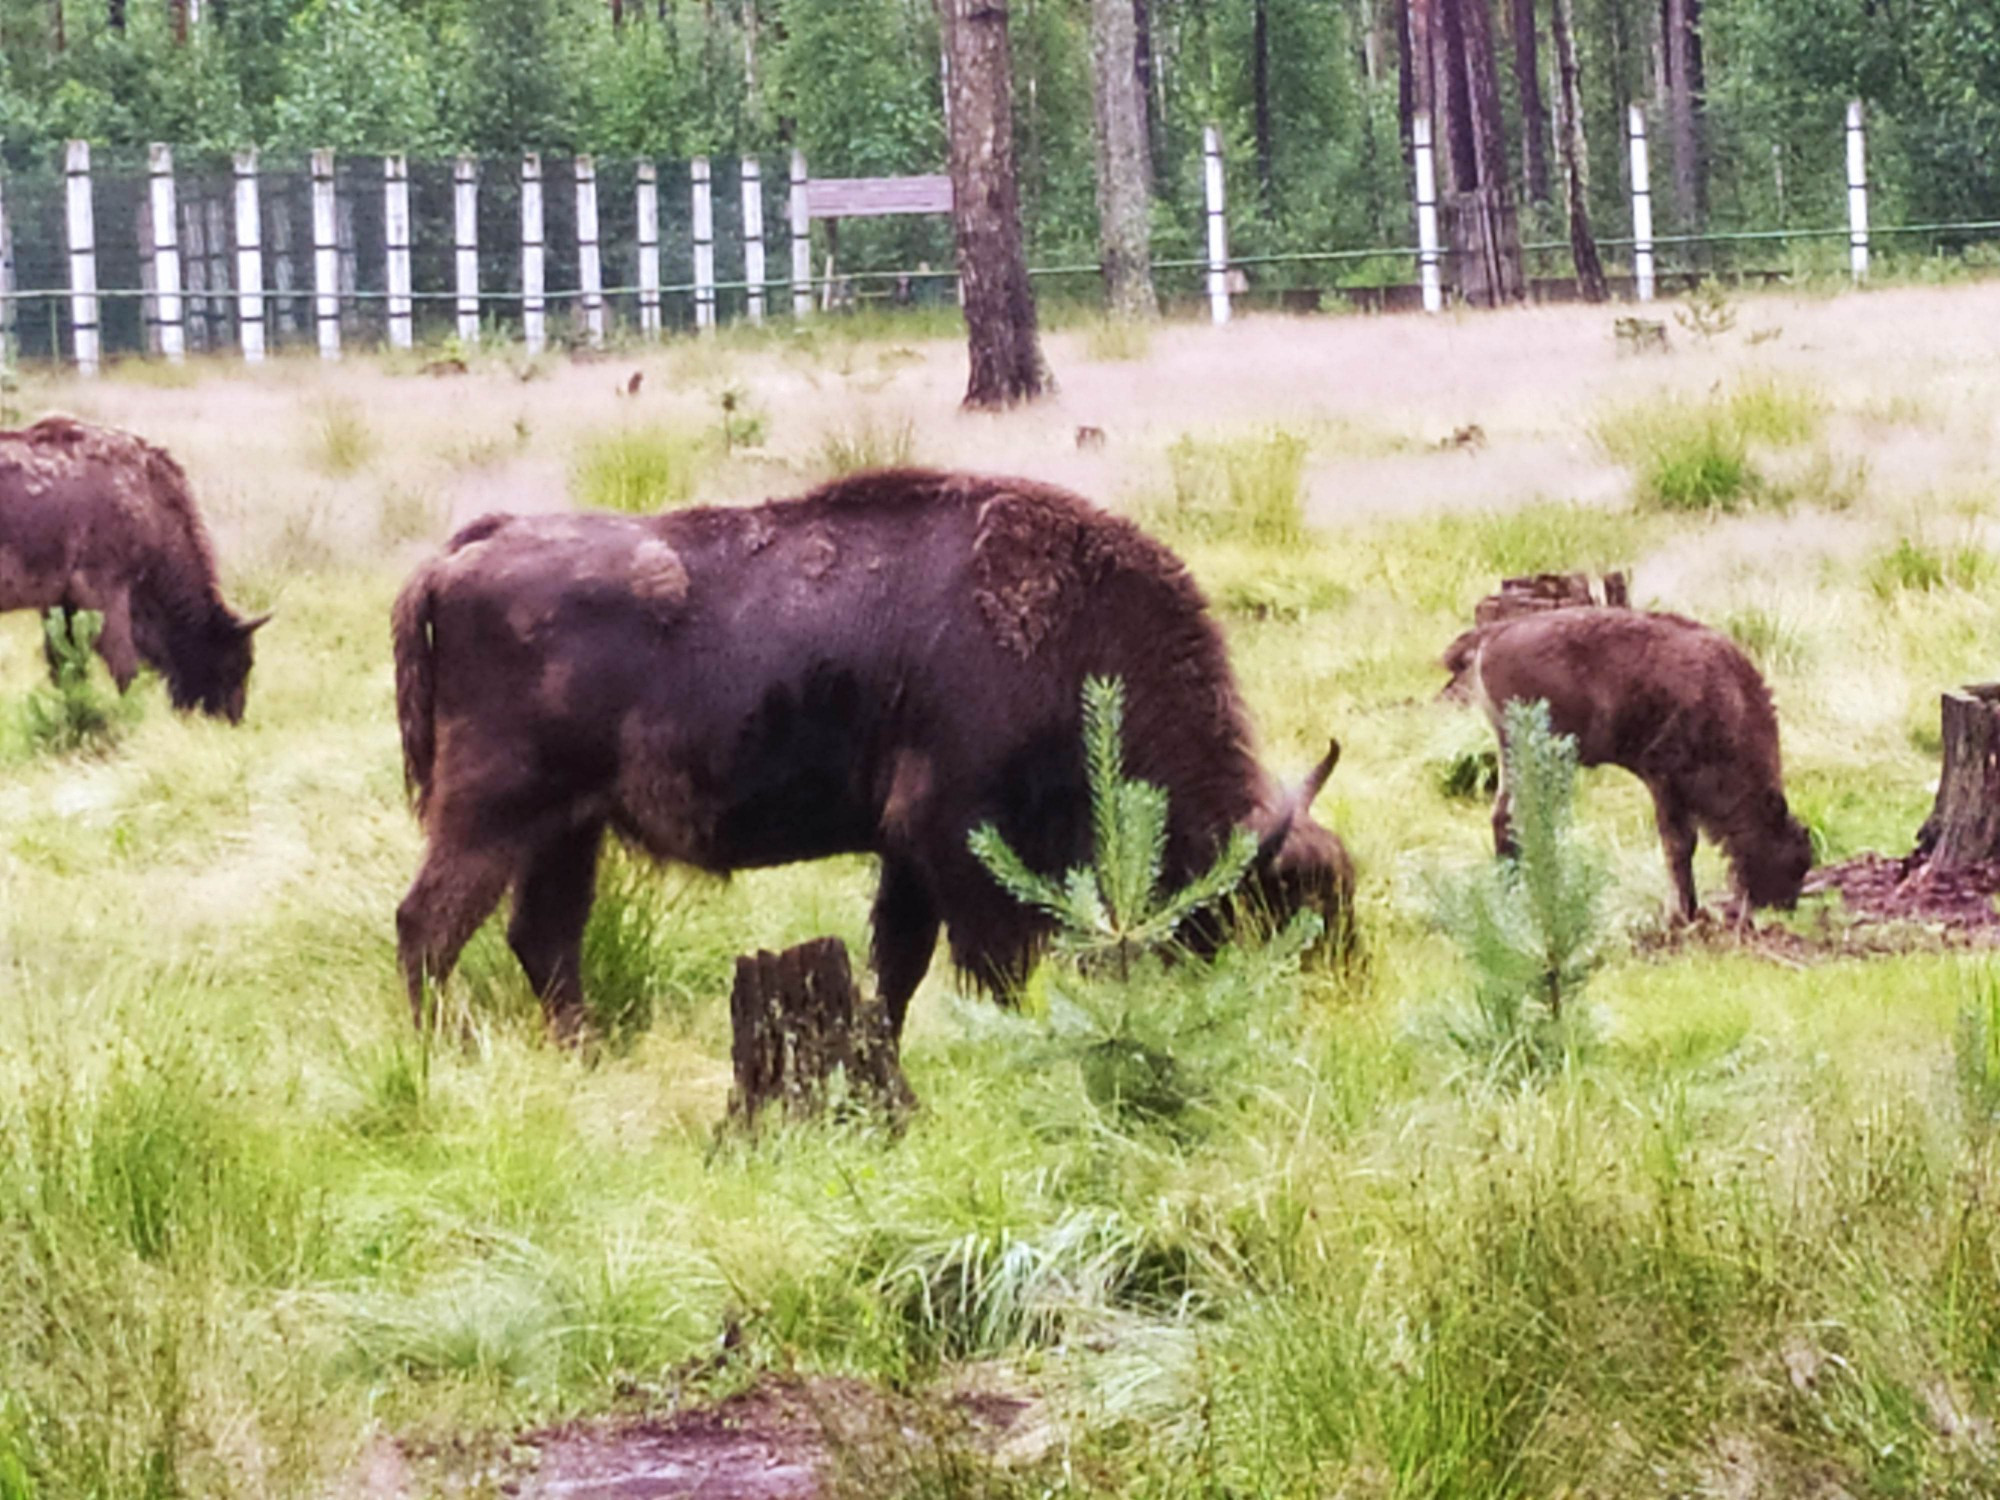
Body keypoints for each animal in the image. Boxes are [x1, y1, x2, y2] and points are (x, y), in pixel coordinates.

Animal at [0, 418, 268, 724]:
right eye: (237, 663)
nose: (233, 719)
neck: (149, 499)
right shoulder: (103, 592)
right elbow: (124, 667)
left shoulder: (59, 602)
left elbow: (65, 666)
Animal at [390, 470, 1352, 1048]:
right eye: (1277, 904)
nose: (1340, 997)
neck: (1073, 637)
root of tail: (471, 547)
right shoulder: (955, 843)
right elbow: (987, 968)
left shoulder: (908, 856)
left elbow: (898, 963)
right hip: (493, 813)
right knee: (429, 926)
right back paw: (438, 1054)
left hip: (569, 828)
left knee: (542, 936)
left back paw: (578, 1053)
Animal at [1440, 608, 1816, 916]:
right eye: (1794, 859)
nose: (1783, 905)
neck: (1730, 701)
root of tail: (1492, 633)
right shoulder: (1664, 779)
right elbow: (1680, 845)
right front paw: (1684, 913)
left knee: (1503, 816)